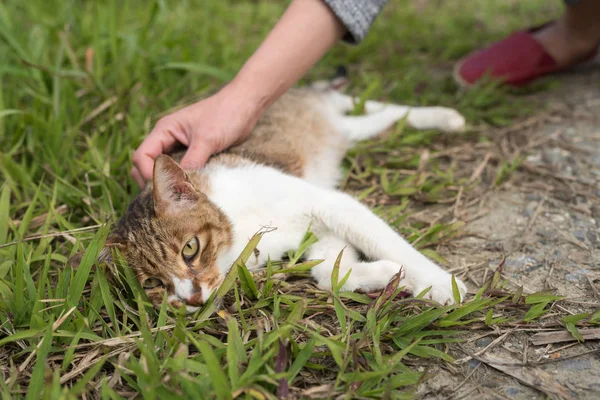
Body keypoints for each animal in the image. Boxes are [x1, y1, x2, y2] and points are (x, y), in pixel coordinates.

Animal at [101, 79, 472, 314]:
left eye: (189, 249)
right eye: (153, 283)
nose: (190, 300)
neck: (238, 236)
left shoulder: (331, 204)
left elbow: (391, 244)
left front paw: (440, 283)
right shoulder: (320, 233)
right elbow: (329, 273)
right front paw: (390, 274)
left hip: (331, 116)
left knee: (378, 108)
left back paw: (444, 116)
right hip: (348, 130)